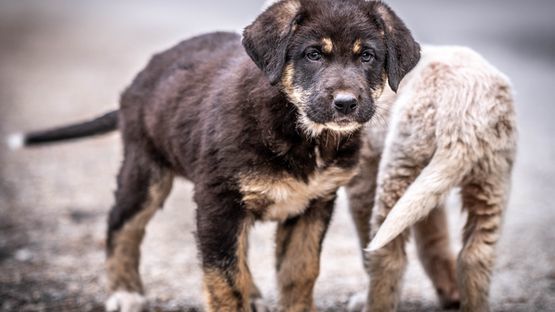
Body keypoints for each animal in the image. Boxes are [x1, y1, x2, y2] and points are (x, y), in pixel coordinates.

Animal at [8, 1, 420, 310]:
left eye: (367, 56)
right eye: (313, 54)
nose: (346, 104)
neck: (298, 128)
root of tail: (138, 82)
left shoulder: (314, 202)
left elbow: (299, 272)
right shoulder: (217, 200)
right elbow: (224, 277)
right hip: (145, 170)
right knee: (121, 224)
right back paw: (124, 292)